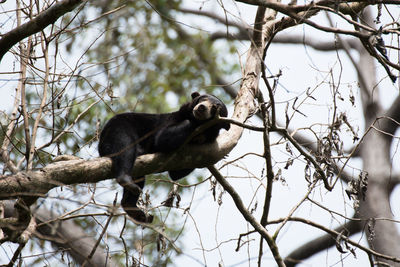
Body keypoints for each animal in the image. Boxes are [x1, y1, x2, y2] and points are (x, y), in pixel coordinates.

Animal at [98, 92, 230, 224]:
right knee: (125, 146)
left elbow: (176, 173)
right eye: (203, 99)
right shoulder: (171, 120)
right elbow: (162, 138)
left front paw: (223, 155)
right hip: (119, 127)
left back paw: (135, 211)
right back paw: (126, 180)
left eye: (215, 107)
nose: (201, 108)